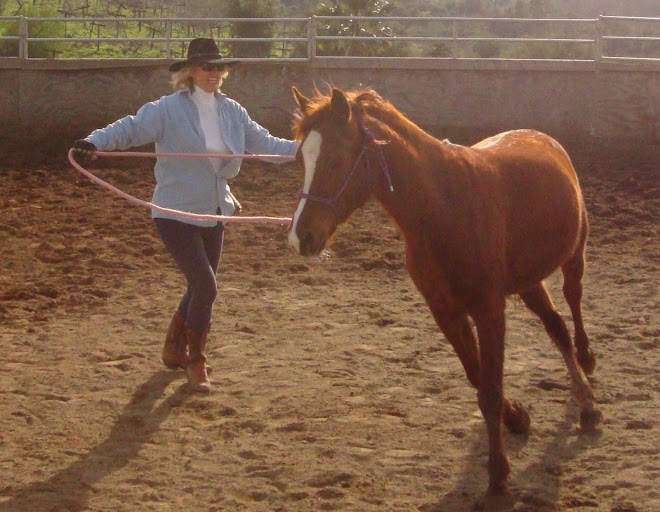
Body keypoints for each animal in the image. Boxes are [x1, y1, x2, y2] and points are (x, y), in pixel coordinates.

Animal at [287, 85, 602, 502]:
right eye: (301, 159)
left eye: (337, 160)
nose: (301, 238)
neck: (444, 208)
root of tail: (542, 138)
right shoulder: (446, 311)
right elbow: (477, 377)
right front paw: (517, 417)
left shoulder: (489, 310)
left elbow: (489, 389)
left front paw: (498, 476)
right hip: (528, 283)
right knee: (557, 329)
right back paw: (584, 399)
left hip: (573, 257)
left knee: (574, 305)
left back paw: (587, 376)